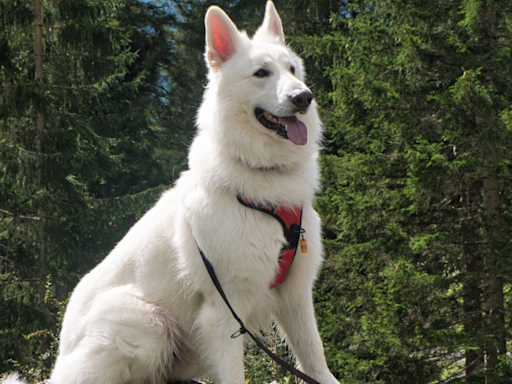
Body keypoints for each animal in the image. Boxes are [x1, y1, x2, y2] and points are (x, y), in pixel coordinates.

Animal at [4, 3, 342, 384]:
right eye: (261, 73)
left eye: (292, 70)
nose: (303, 97)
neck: (261, 177)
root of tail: (61, 356)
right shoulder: (224, 309)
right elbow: (234, 372)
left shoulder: (296, 296)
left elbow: (315, 359)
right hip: (148, 321)